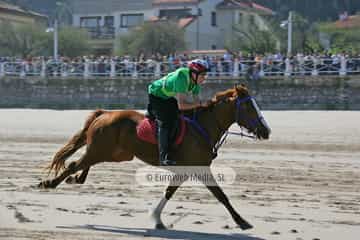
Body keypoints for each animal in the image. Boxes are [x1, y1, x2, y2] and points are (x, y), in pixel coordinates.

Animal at [38, 84, 270, 231]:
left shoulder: (186, 169)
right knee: (74, 164)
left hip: (115, 154)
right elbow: (221, 195)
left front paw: (156, 219)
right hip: (103, 150)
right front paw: (241, 221)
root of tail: (104, 114)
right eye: (248, 106)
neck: (203, 126)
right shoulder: (200, 167)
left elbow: (170, 191)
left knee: (81, 164)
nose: (266, 131)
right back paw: (49, 183)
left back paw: (75, 179)